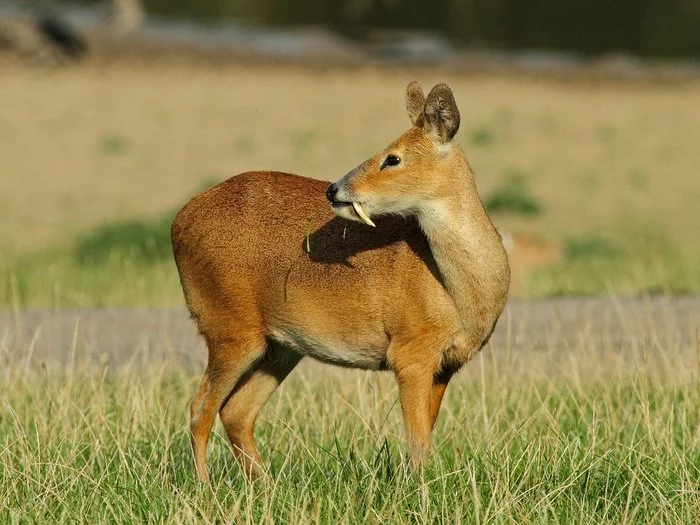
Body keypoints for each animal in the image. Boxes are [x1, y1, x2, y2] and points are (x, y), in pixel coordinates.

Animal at [170, 81, 508, 478]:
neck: (459, 291)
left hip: (279, 347)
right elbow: (417, 441)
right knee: (199, 409)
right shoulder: (410, 352)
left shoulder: (446, 365)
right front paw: (419, 489)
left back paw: (265, 485)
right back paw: (206, 486)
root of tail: (179, 221)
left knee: (235, 412)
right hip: (229, 328)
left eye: (393, 158)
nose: (334, 189)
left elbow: (425, 434)